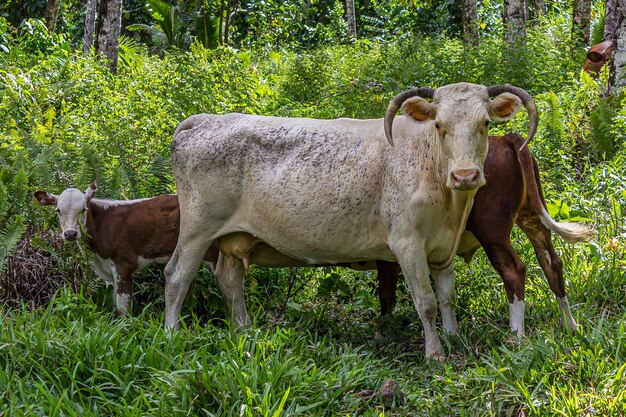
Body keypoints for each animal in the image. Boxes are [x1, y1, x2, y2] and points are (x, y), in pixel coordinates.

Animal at [35, 184, 219, 314]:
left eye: (83, 209)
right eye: (58, 210)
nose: (70, 233)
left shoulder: (124, 263)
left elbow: (123, 307)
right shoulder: (107, 270)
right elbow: (113, 302)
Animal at [165, 82, 536, 358]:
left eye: (485, 123)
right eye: (438, 125)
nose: (465, 175)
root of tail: (203, 121)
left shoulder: (443, 249)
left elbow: (447, 298)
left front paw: (454, 337)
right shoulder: (407, 244)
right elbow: (426, 302)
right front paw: (435, 353)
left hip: (235, 238)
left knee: (229, 279)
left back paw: (244, 331)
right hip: (197, 230)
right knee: (176, 277)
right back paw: (172, 334)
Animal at [372, 133, 592, 334]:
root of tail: (505, 138)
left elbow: (386, 293)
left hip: (491, 229)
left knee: (514, 269)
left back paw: (516, 334)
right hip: (531, 215)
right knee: (551, 262)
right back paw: (570, 326)